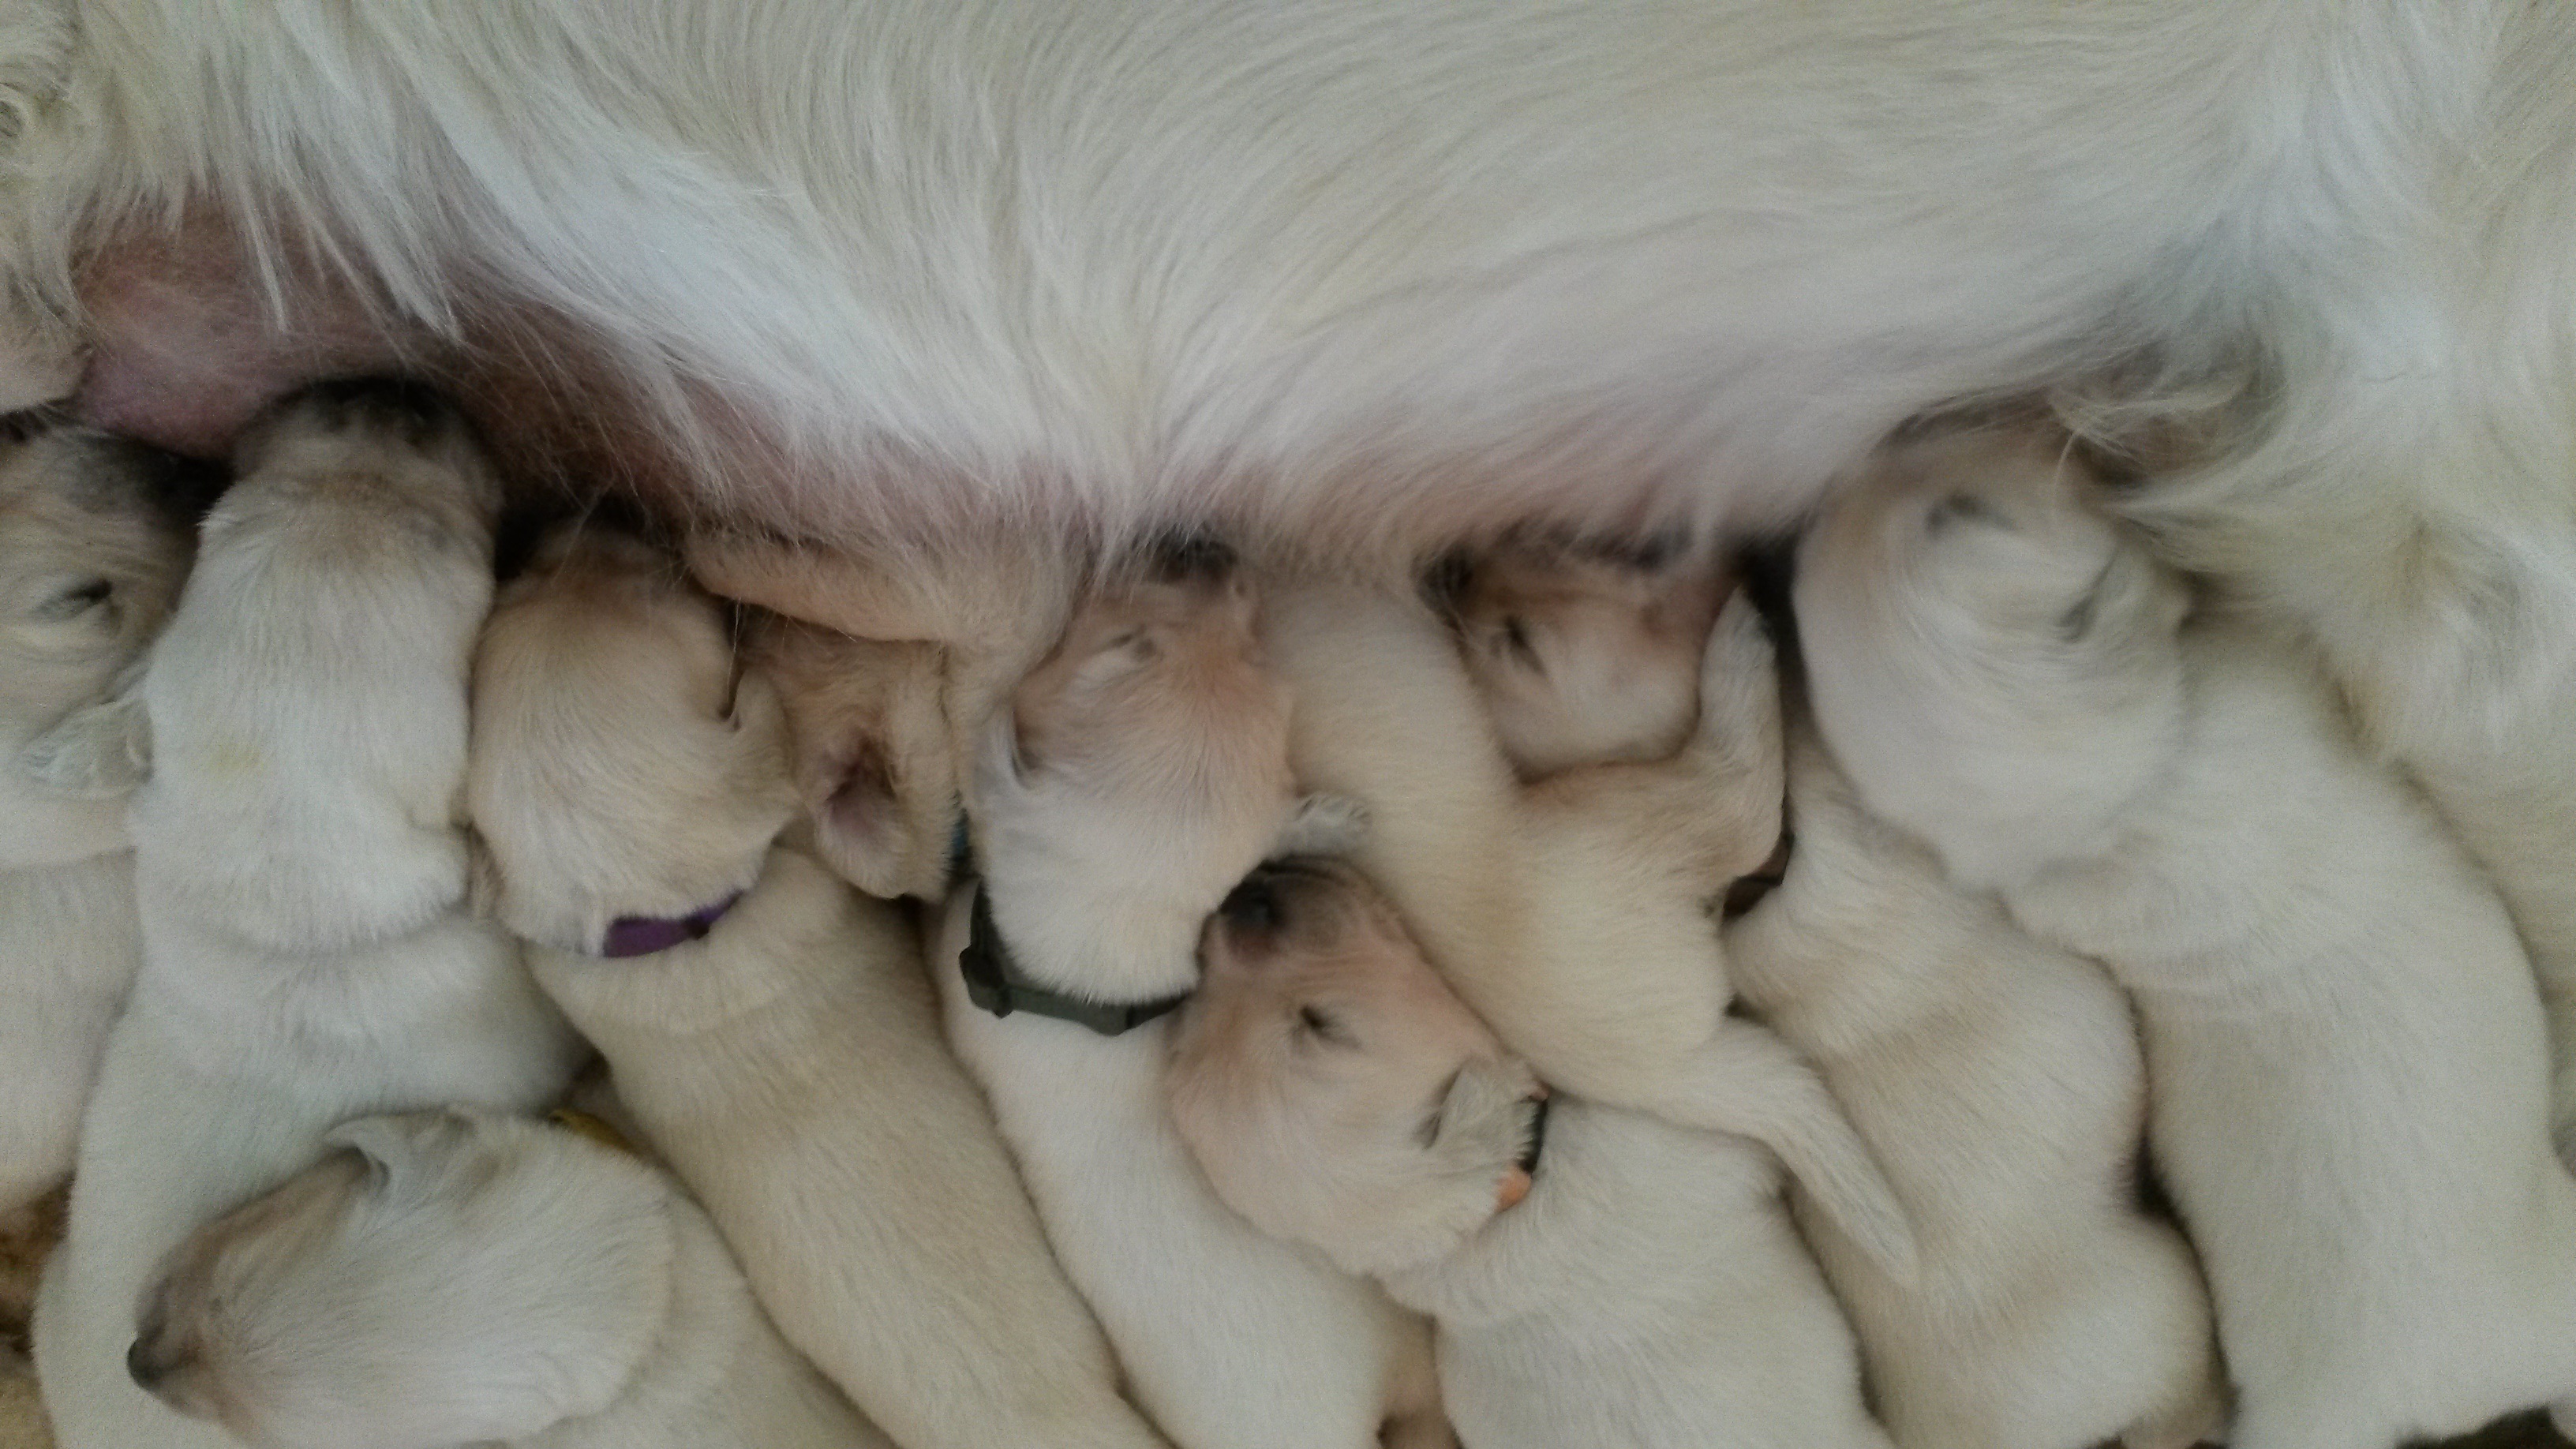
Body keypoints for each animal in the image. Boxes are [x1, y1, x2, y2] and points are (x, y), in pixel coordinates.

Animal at [1168, 855, 1895, 1449]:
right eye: (1324, 1026)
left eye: (1195, 1012)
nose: (1241, 900)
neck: (1497, 1209)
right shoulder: (1710, 1140)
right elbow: (1804, 1124)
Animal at [1796, 423, 2576, 1449]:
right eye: (1963, 515)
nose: (1794, 526)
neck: (2123, 800)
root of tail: (2384, 1399)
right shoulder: (2263, 673)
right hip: (2551, 1277)